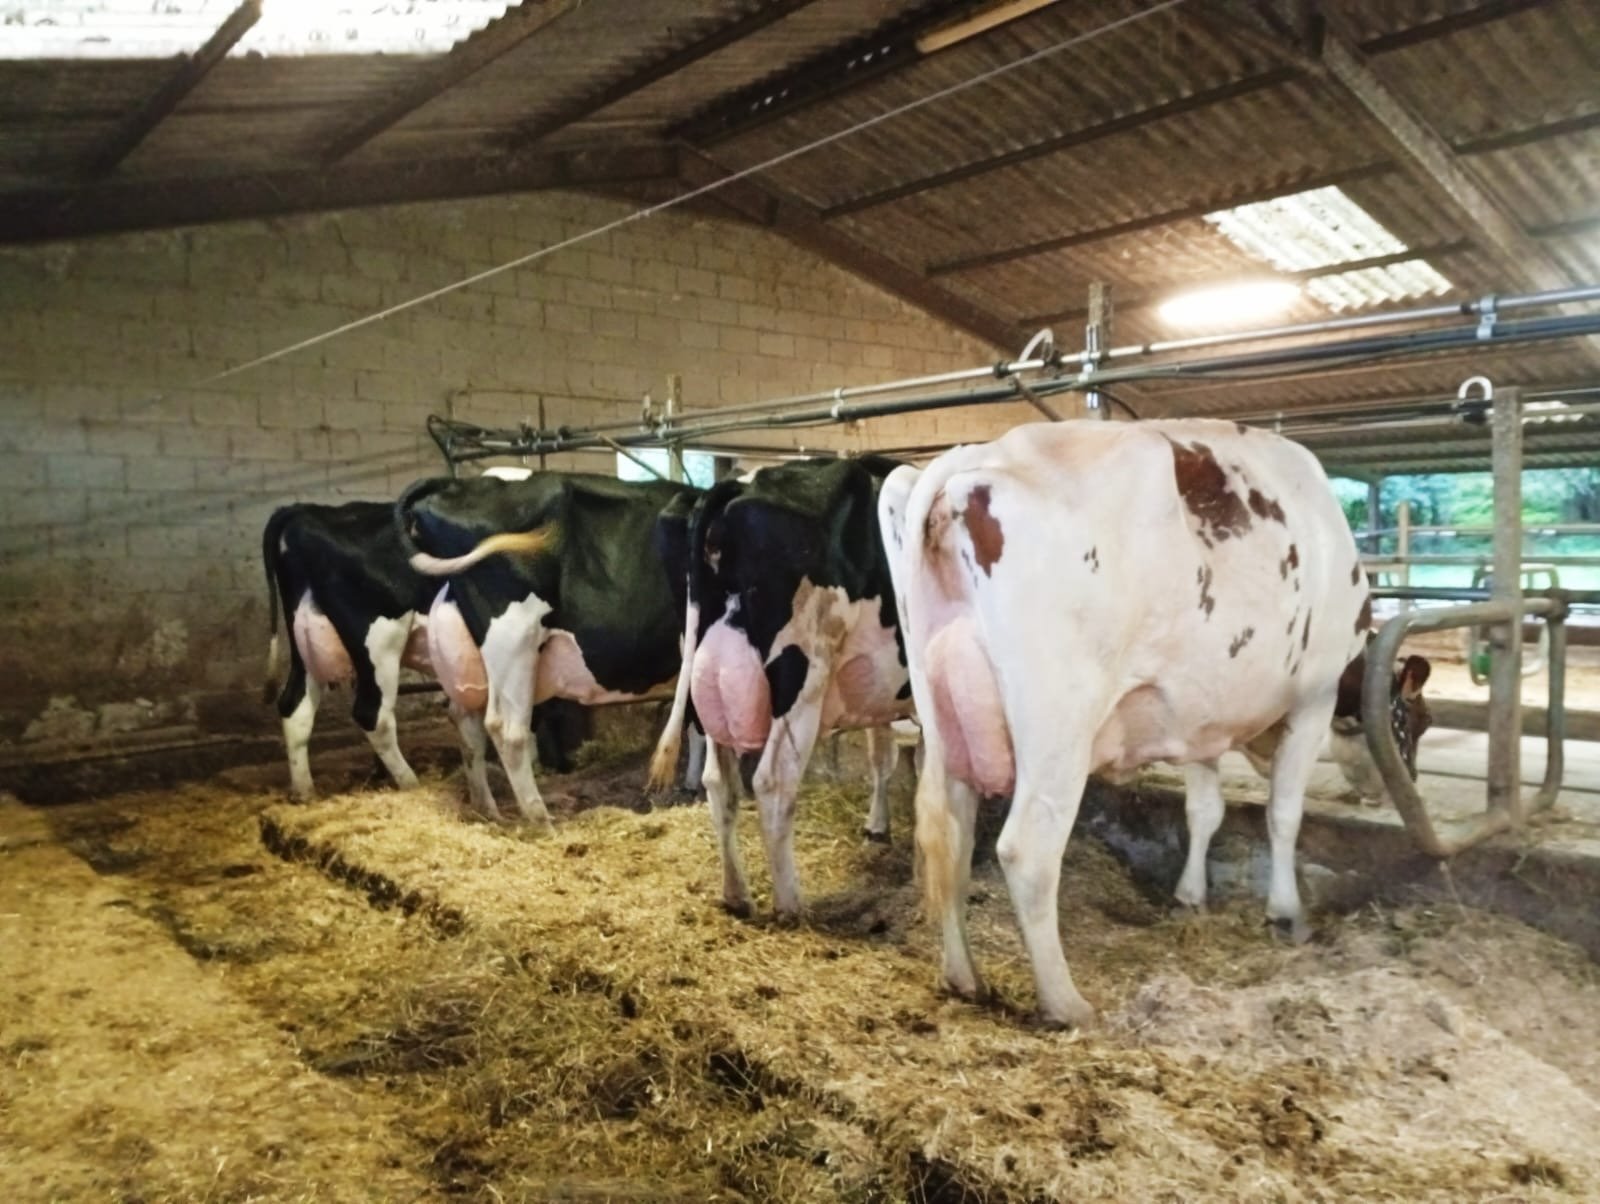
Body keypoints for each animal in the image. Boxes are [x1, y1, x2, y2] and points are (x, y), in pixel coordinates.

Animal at [261, 502, 591, 811]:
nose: (565, 764)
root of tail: (305, 512)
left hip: (304, 641)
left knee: (295, 707)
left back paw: (305, 793)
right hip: (378, 640)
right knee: (373, 715)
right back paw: (411, 783)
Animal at [397, 471, 704, 830]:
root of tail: (456, 483)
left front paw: (693, 785)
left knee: (466, 721)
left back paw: (488, 811)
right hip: (515, 636)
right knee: (507, 730)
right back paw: (540, 819)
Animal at [647, 456, 912, 920]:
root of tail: (737, 485)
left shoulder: (878, 689)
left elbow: (882, 758)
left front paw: (878, 825)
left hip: (706, 678)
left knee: (720, 783)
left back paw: (736, 894)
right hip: (802, 678)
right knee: (773, 781)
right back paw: (790, 904)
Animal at [879, 419, 1378, 1028]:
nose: (1377, 790)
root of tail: (977, 456)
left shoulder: (1201, 715)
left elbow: (1204, 810)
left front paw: (1191, 895)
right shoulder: (1316, 694)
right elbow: (1284, 815)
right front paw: (1285, 913)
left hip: (944, 713)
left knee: (950, 834)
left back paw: (963, 977)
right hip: (1059, 727)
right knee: (1027, 851)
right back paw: (1066, 1002)